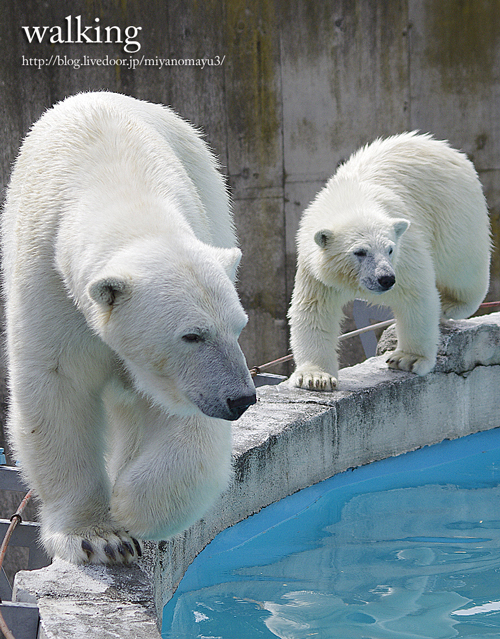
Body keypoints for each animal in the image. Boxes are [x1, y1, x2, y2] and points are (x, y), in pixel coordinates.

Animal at [0, 91, 258, 564]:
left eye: (237, 327)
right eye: (191, 335)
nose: (241, 398)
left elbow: (183, 416)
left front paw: (130, 506)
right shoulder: (47, 276)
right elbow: (59, 384)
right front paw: (98, 536)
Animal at [288, 131, 490, 390]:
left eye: (390, 249)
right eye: (360, 252)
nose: (386, 279)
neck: (350, 199)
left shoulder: (406, 252)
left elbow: (416, 296)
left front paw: (408, 359)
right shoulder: (315, 270)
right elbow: (314, 310)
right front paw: (315, 377)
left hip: (454, 211)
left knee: (461, 267)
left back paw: (451, 303)